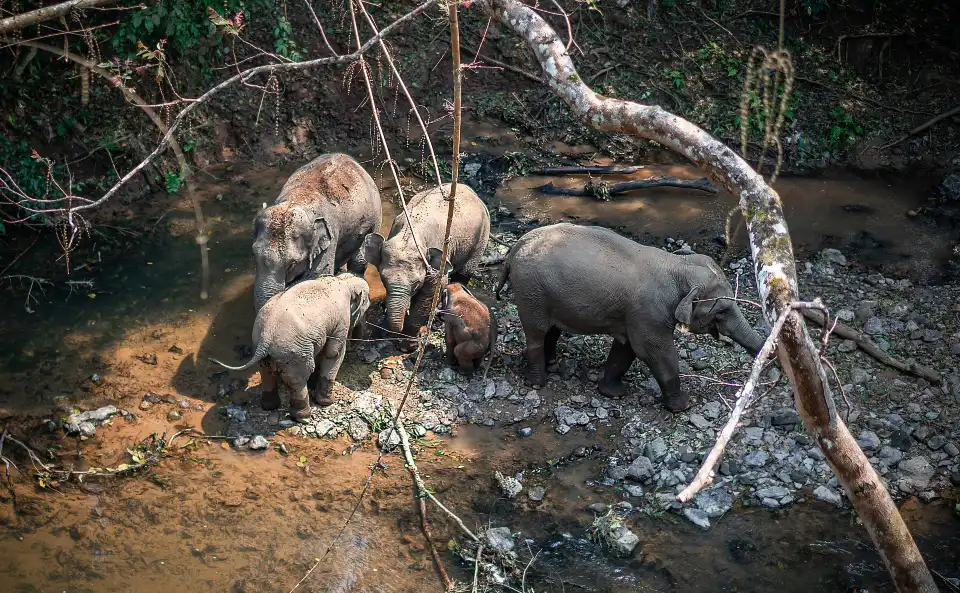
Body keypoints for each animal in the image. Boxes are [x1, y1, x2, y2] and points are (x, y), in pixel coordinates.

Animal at [210, 273, 371, 420]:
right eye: (367, 306)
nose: (355, 347)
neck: (342, 280)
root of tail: (266, 336)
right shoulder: (341, 320)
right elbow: (334, 352)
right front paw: (327, 402)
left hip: (269, 347)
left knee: (266, 372)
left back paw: (269, 407)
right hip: (294, 353)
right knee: (298, 380)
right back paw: (302, 416)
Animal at [252, 153, 381, 311]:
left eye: (292, 264)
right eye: (254, 254)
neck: (295, 200)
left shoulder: (330, 233)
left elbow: (317, 275)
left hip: (375, 217)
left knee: (359, 261)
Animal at [362, 183, 490, 351]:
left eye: (417, 284)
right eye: (383, 279)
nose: (389, 334)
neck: (410, 235)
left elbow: (431, 292)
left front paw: (407, 346)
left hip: (480, 240)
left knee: (463, 274)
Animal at [494, 222, 764, 412]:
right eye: (722, 311)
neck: (678, 266)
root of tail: (515, 247)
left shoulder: (634, 315)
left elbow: (626, 349)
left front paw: (613, 393)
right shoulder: (649, 314)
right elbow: (655, 352)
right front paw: (682, 406)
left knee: (552, 330)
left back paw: (551, 363)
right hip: (531, 290)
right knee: (537, 332)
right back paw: (537, 382)